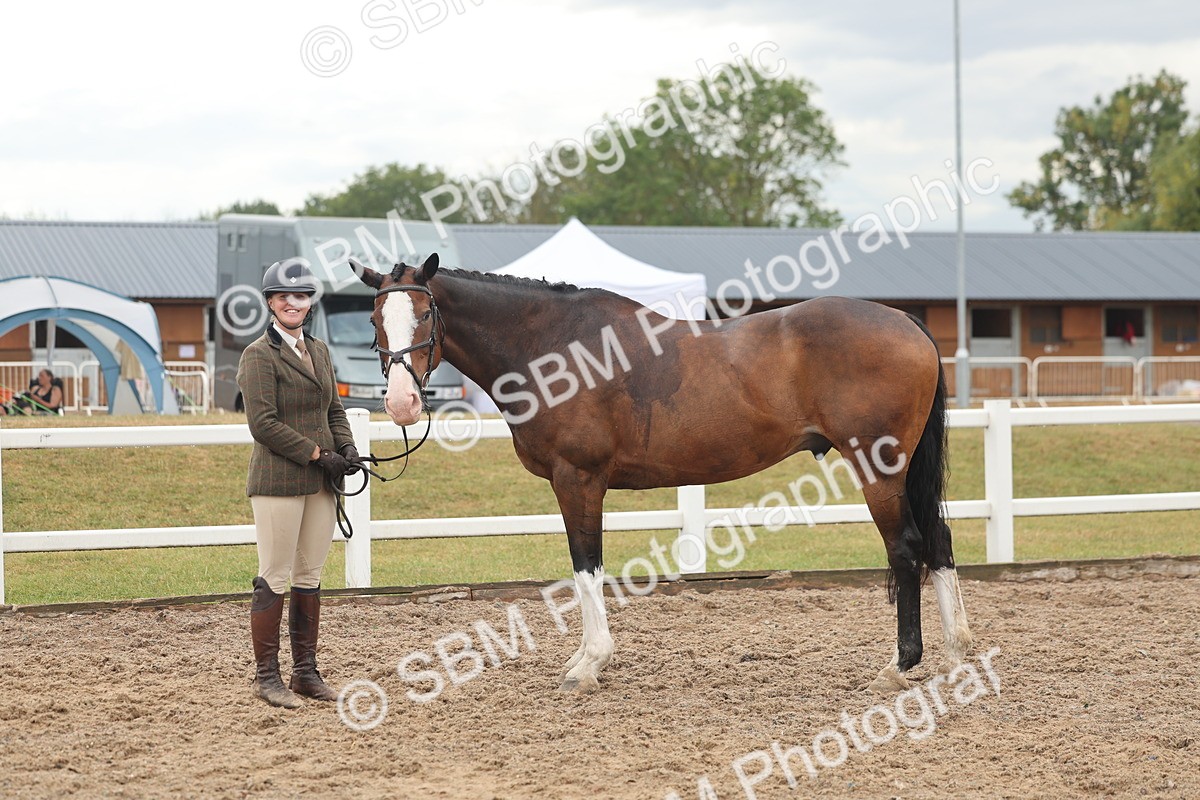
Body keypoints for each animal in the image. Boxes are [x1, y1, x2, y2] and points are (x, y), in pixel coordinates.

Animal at [357, 254, 973, 694]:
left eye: (426, 313)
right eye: (375, 319)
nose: (402, 403)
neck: (553, 348)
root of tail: (905, 320)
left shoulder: (578, 479)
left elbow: (585, 566)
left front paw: (588, 666)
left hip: (879, 467)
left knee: (906, 547)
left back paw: (899, 666)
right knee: (938, 540)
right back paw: (956, 653)